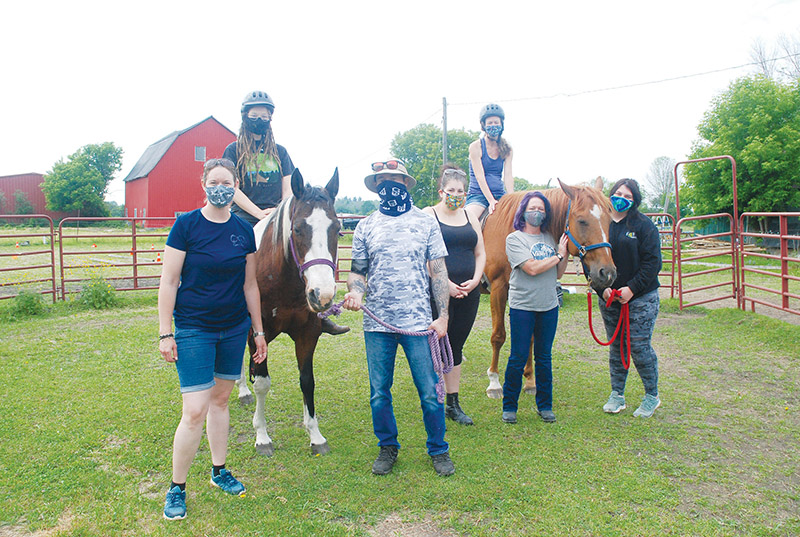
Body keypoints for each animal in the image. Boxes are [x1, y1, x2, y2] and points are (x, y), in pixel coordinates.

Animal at [245, 168, 342, 452]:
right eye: (297, 229)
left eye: (338, 229)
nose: (322, 295)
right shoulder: (257, 333)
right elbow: (263, 383)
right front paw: (262, 436)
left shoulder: (308, 333)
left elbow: (307, 380)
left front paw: (315, 435)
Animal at [482, 178, 620, 396]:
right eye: (582, 221)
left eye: (609, 221)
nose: (607, 273)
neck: (511, 230)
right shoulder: (498, 290)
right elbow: (498, 335)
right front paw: (494, 382)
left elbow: (529, 338)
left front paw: (530, 380)